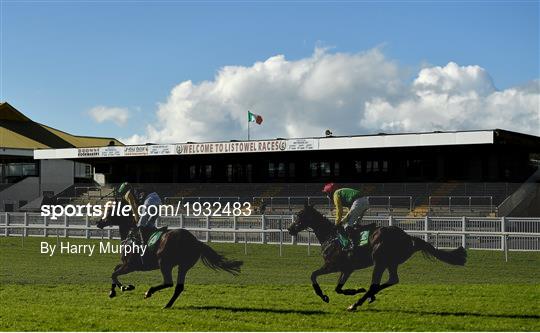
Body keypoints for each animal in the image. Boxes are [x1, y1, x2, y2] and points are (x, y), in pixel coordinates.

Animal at [95, 204, 243, 308]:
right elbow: (114, 270)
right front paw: (114, 291)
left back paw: (149, 292)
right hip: (183, 266)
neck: (131, 235)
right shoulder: (126, 264)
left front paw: (125, 287)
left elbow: (114, 274)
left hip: (164, 263)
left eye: (109, 212)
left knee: (168, 282)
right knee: (178, 287)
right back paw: (167, 304)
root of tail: (196, 241)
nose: (98, 222)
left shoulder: (130, 265)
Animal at [286, 204, 468, 310]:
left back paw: (356, 304)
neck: (331, 237)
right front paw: (354, 291)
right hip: (390, 263)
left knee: (375, 283)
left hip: (379, 261)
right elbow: (338, 288)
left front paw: (323, 296)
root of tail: (408, 237)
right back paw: (368, 297)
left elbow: (313, 275)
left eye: (300, 215)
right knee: (391, 280)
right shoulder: (347, 268)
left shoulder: (332, 265)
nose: (290, 229)